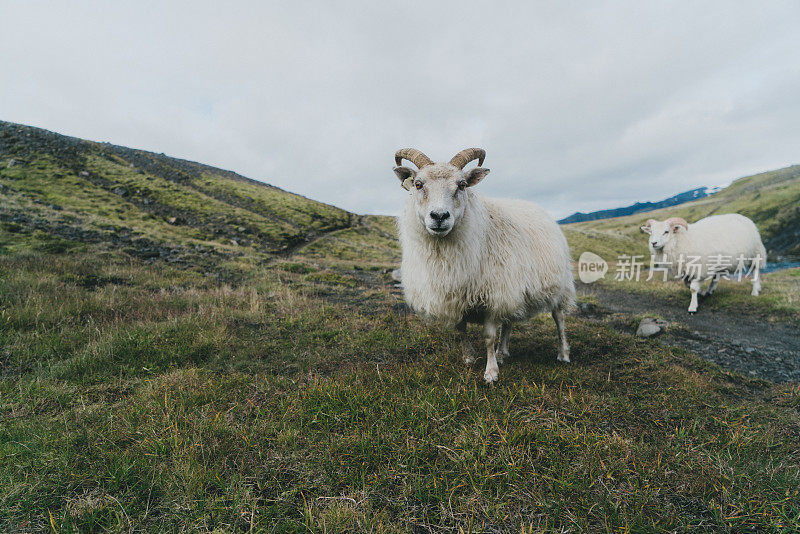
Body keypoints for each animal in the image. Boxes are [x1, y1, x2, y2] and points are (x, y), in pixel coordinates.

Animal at [392, 149, 576, 384]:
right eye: (418, 184)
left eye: (462, 185)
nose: (440, 216)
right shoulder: (457, 295)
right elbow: (461, 329)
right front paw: (469, 358)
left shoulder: (493, 294)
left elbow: (488, 337)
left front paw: (491, 373)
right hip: (513, 288)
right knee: (509, 322)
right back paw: (503, 353)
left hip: (559, 286)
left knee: (559, 318)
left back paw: (563, 354)